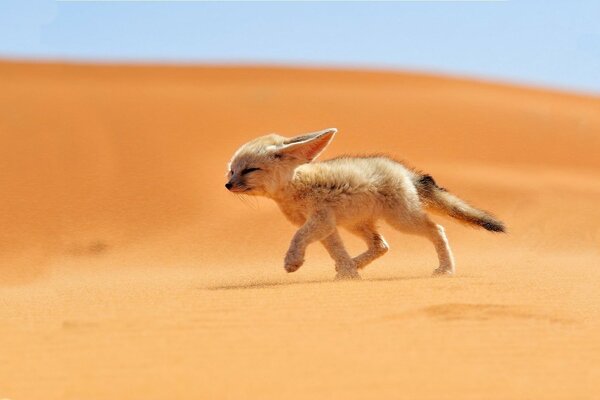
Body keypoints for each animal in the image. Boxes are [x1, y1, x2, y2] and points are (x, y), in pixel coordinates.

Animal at [227, 130, 504, 280]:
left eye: (250, 170)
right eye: (231, 170)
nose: (228, 185)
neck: (295, 186)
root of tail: (404, 171)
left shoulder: (320, 220)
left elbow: (298, 237)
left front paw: (293, 262)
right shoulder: (327, 225)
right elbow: (336, 251)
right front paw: (349, 274)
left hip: (402, 221)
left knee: (437, 229)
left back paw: (446, 269)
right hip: (357, 224)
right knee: (381, 245)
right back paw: (354, 265)